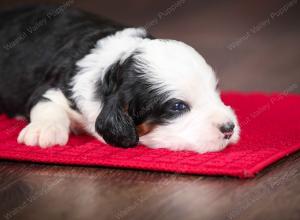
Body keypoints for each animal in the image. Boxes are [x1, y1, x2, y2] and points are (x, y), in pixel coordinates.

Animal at [0, 5, 239, 153]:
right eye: (178, 107)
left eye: (215, 92)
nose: (229, 128)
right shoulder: (53, 87)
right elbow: (46, 103)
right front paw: (44, 130)